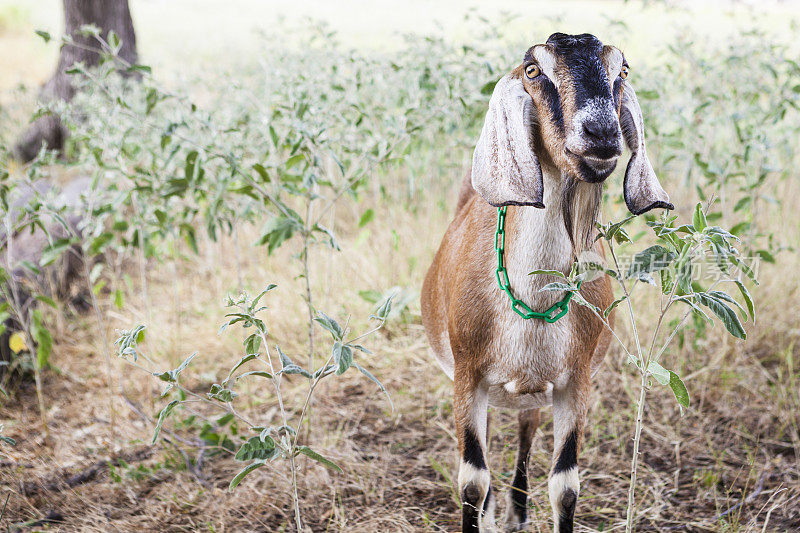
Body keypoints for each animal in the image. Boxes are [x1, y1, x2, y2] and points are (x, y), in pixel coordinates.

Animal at [422, 34, 672, 532]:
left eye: (622, 69)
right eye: (534, 70)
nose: (601, 133)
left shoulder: (574, 383)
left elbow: (566, 485)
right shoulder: (466, 375)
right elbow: (471, 479)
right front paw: (483, 506)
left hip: (534, 392)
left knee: (525, 430)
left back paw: (516, 512)